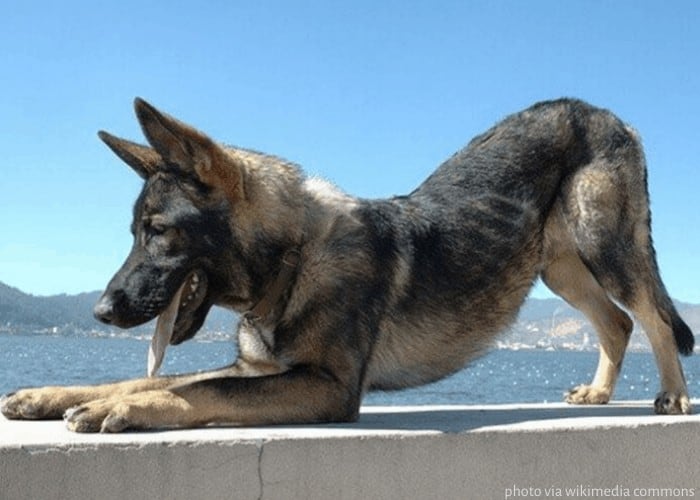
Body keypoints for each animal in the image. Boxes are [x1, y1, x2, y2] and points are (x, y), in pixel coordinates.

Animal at [1, 96, 696, 430]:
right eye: (134, 233)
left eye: (159, 233)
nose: (100, 311)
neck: (293, 256)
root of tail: (603, 112)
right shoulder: (261, 370)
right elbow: (146, 379)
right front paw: (51, 395)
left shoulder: (325, 385)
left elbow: (195, 388)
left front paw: (119, 411)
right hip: (559, 265)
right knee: (618, 322)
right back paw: (601, 393)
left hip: (602, 242)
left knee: (653, 317)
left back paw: (672, 396)